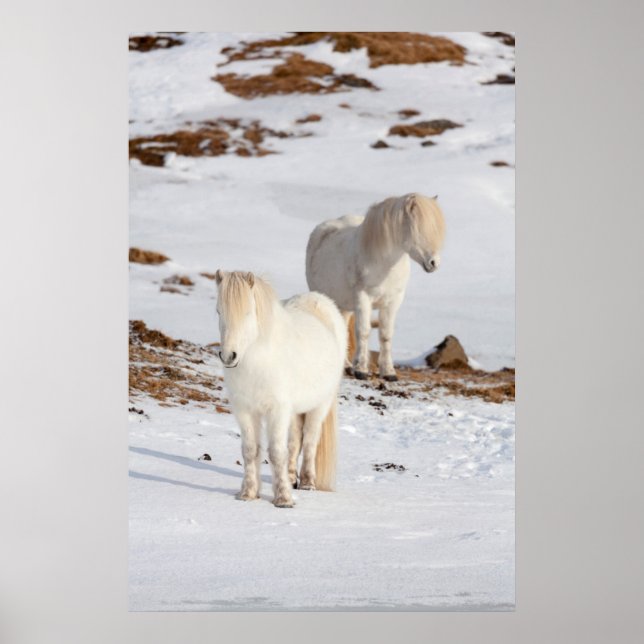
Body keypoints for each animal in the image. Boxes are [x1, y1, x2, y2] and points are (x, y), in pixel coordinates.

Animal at [214, 270, 346, 508]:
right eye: (218, 311)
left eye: (248, 312)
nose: (229, 356)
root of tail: (320, 300)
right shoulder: (244, 410)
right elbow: (251, 451)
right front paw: (248, 493)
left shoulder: (276, 410)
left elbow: (276, 452)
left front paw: (283, 499)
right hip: (294, 411)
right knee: (294, 442)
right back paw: (292, 478)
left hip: (320, 405)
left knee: (310, 440)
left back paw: (307, 483)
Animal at [306, 192, 445, 381]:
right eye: (418, 229)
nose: (434, 263)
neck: (384, 264)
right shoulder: (363, 298)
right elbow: (363, 331)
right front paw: (361, 370)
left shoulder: (393, 301)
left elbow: (386, 335)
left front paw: (388, 372)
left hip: (344, 306)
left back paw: (346, 366)